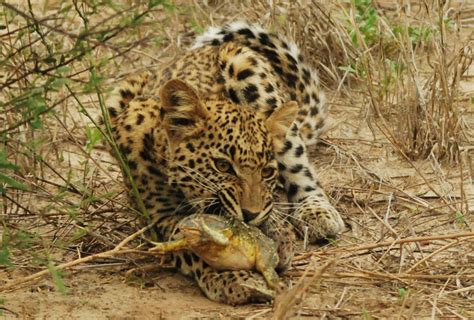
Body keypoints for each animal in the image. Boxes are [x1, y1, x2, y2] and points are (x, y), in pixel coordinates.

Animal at [105, 20, 344, 304]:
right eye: (222, 166)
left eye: (266, 172)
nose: (250, 214)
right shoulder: (161, 217)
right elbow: (193, 249)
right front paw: (233, 279)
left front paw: (280, 237)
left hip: (247, 67)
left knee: (300, 169)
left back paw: (317, 213)